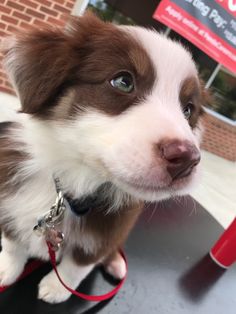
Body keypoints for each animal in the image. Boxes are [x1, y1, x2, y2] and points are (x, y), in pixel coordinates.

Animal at [0, 12, 204, 304]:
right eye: (123, 82)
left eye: (188, 110)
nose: (187, 158)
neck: (72, 182)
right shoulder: (10, 202)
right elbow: (12, 243)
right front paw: (6, 269)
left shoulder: (108, 231)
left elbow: (78, 264)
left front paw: (57, 288)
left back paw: (115, 263)